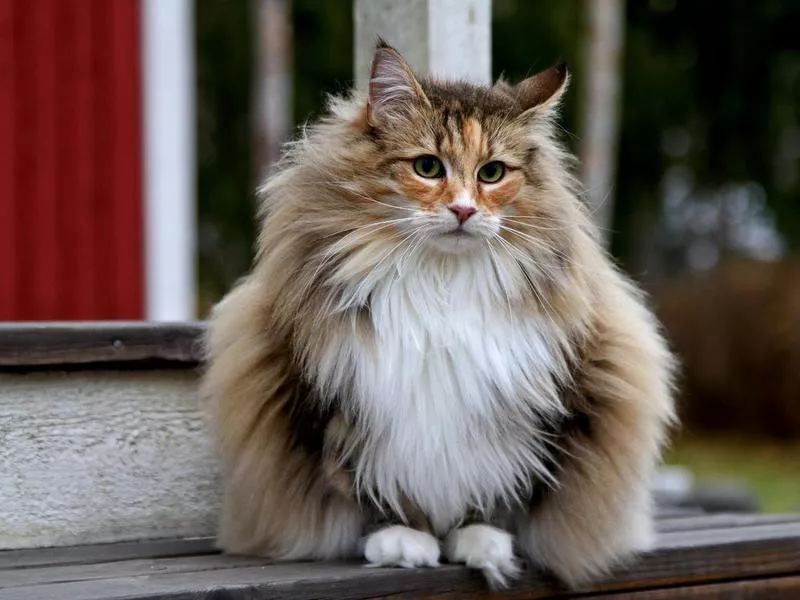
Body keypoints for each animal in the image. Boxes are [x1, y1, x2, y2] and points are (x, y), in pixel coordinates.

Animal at [203, 39, 680, 588]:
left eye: (491, 173)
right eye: (428, 168)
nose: (463, 211)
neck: (441, 285)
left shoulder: (536, 405)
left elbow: (501, 487)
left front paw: (480, 541)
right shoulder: (335, 401)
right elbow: (367, 485)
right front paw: (403, 540)